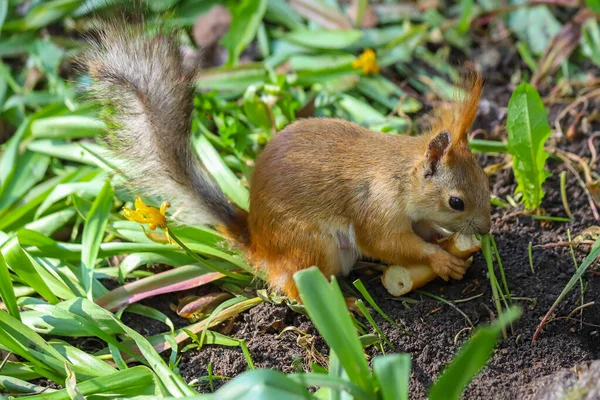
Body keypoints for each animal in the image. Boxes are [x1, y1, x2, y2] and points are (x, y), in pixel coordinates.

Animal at [88, 25, 492, 300]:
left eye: (487, 180)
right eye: (456, 201)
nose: (486, 229)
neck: (399, 177)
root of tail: (260, 245)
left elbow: (421, 230)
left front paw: (445, 241)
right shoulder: (375, 209)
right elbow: (386, 243)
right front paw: (439, 259)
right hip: (312, 246)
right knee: (296, 287)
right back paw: (347, 307)